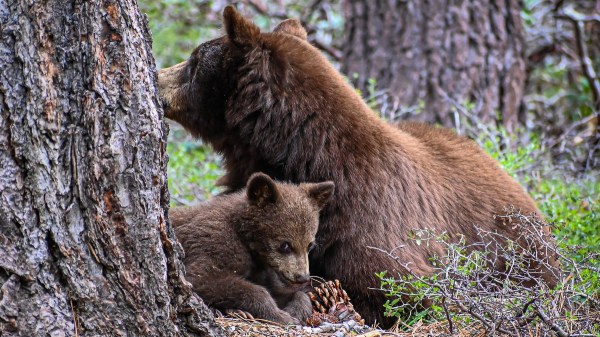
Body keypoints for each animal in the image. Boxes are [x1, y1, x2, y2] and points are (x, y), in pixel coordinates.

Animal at [158, 5, 556, 326]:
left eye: (194, 61)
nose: (158, 77)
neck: (306, 155)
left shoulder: (370, 223)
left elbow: (401, 288)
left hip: (521, 254)